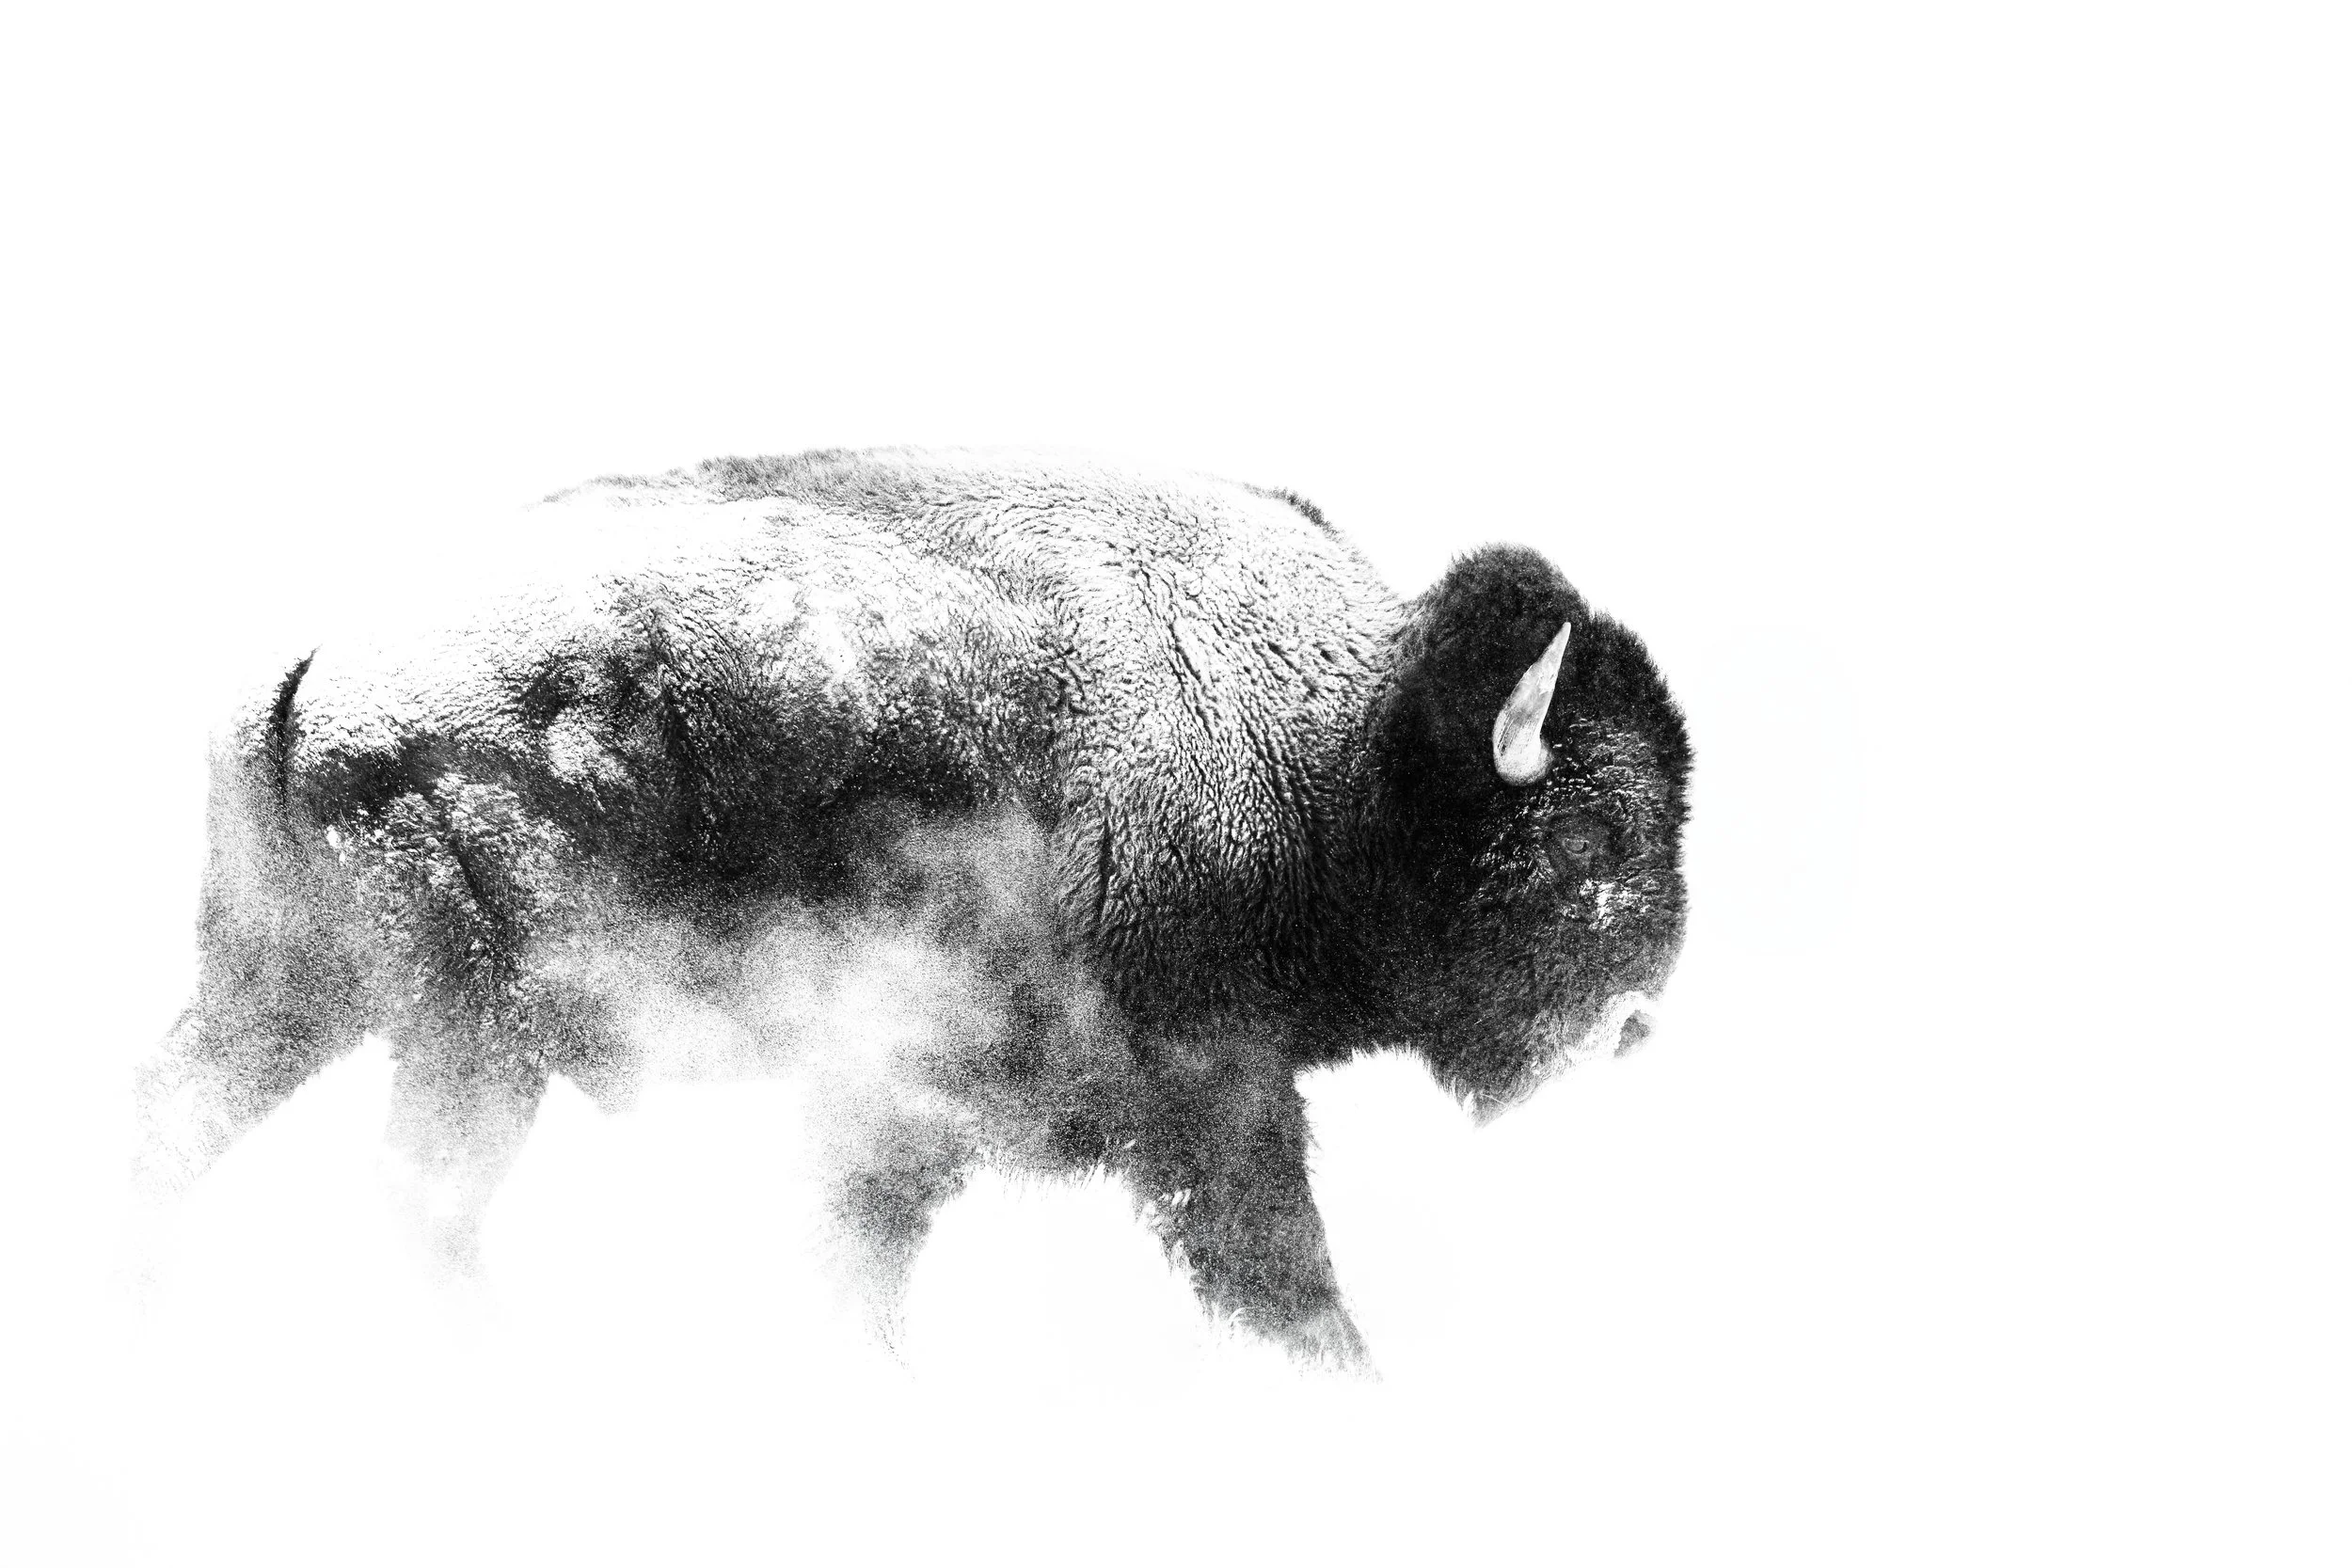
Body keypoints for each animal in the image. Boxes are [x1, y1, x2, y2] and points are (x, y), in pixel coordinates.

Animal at [134, 448, 1692, 1368]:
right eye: (1585, 836)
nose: (1633, 1022)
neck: (1331, 740)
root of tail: (328, 656)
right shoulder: (1202, 1090)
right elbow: (1278, 1263)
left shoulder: (902, 1105)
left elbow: (857, 1246)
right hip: (475, 1040)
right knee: (417, 1200)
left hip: (293, 996)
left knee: (181, 1118)